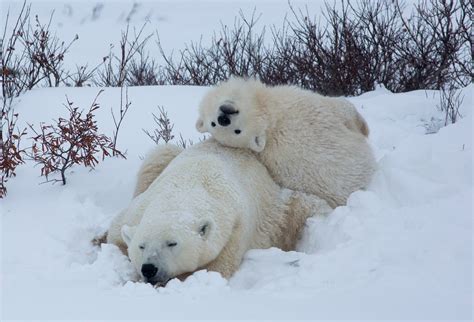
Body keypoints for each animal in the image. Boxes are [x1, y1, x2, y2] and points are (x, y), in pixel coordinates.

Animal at [107, 140, 332, 284]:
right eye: (141, 246)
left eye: (172, 243)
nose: (149, 268)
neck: (185, 186)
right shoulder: (139, 208)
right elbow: (115, 234)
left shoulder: (234, 227)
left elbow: (217, 267)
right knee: (159, 154)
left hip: (281, 208)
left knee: (307, 206)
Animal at [194, 78, 376, 209]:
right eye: (237, 131)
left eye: (212, 123)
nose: (223, 118)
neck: (271, 122)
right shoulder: (300, 102)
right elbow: (342, 108)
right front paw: (364, 128)